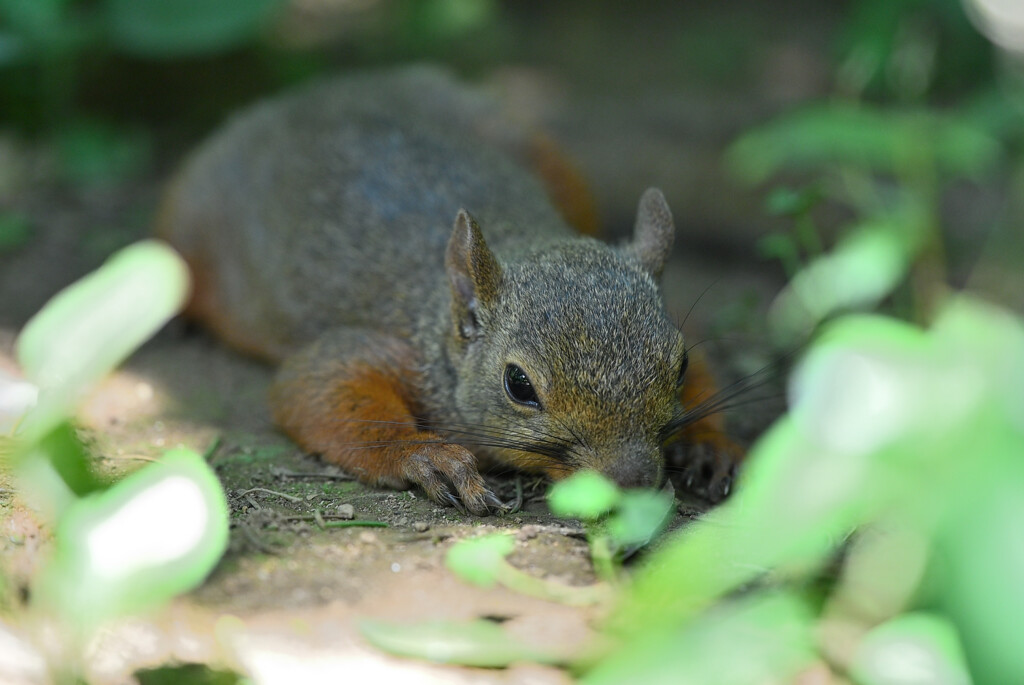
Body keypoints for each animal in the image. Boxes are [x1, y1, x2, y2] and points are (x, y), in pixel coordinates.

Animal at [155, 66, 741, 511]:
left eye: (680, 365)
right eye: (519, 385)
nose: (632, 480)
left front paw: (710, 444)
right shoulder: (390, 350)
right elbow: (317, 385)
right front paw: (426, 457)